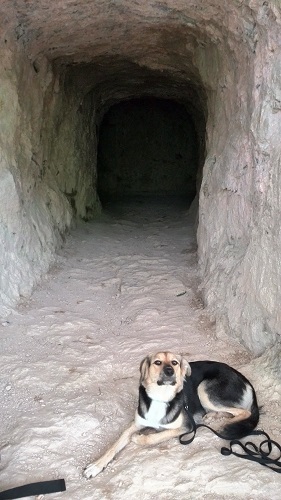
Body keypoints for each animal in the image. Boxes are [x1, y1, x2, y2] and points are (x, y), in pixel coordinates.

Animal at [83, 350, 258, 478]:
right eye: (157, 362)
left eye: (174, 362)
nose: (170, 371)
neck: (160, 397)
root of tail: (245, 380)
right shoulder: (135, 424)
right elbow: (114, 446)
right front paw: (96, 466)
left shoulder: (186, 426)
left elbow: (156, 436)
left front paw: (139, 438)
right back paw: (212, 416)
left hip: (204, 389)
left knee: (244, 411)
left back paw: (222, 422)